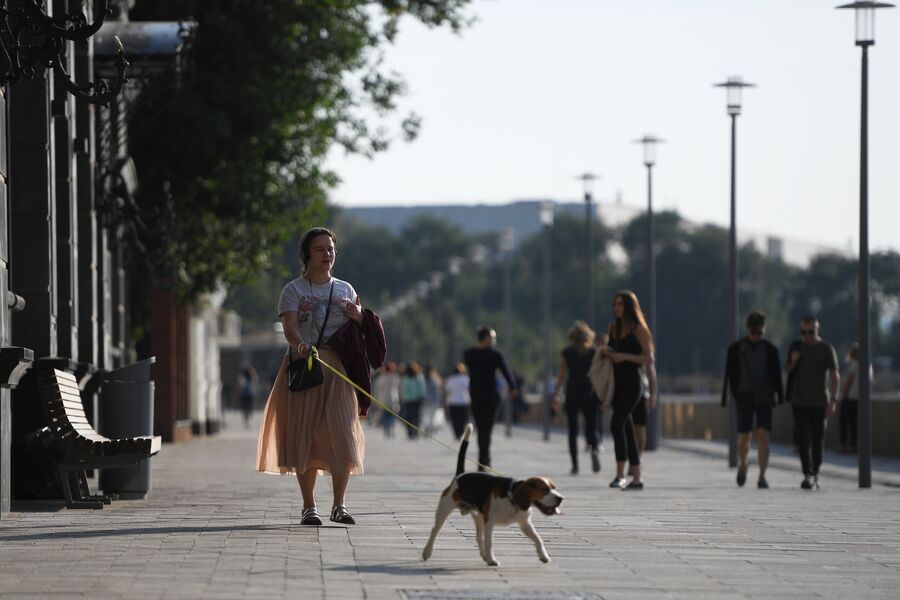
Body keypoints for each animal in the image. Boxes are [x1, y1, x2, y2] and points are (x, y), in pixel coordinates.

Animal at [422, 422, 564, 568]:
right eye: (544, 489)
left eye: (554, 488)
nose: (561, 498)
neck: (511, 497)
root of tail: (460, 475)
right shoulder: (490, 523)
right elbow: (490, 543)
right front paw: (492, 560)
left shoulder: (525, 524)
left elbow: (538, 539)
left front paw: (544, 556)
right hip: (444, 510)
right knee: (434, 530)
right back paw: (427, 552)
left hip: (478, 517)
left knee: (479, 537)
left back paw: (484, 555)